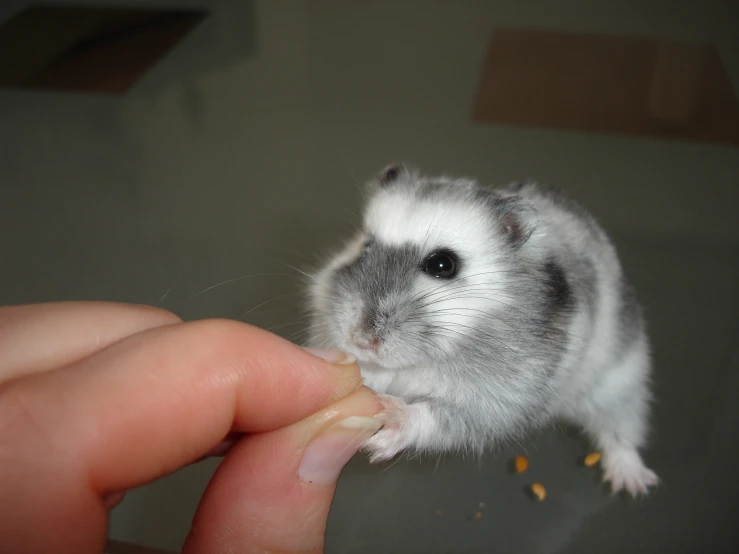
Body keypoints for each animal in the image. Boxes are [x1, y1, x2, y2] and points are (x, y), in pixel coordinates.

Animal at [306, 162, 660, 494]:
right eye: (365, 247)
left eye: (442, 264)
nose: (362, 340)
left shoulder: (501, 399)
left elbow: (436, 416)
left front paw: (390, 419)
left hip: (621, 382)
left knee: (621, 432)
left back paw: (632, 484)